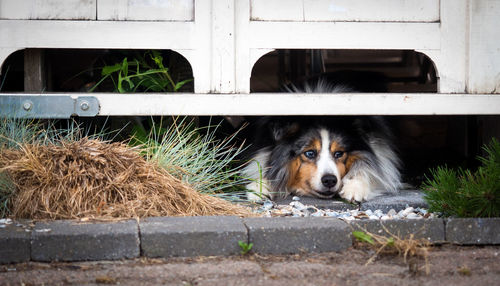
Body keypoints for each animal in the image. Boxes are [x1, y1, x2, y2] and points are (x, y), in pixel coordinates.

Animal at [242, 80, 402, 202]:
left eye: (339, 153)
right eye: (310, 153)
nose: (330, 180)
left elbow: (368, 170)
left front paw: (355, 188)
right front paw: (259, 187)